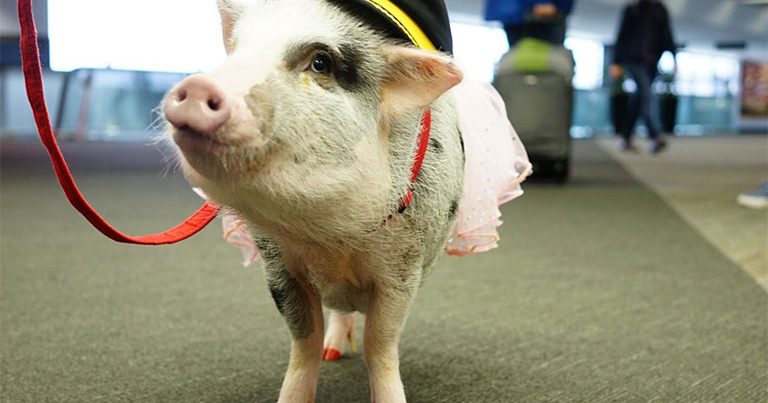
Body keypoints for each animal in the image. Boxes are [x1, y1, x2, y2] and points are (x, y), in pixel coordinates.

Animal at [163, 0, 528, 403]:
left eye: (321, 62)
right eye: (239, 49)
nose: (198, 86)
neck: (330, 236)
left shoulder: (404, 268)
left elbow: (380, 344)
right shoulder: (277, 265)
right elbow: (304, 341)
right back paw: (333, 353)